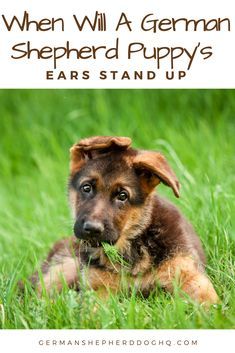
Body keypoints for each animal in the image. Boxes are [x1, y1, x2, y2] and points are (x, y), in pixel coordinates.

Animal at [30, 136, 218, 304]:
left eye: (122, 196)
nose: (92, 228)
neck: (131, 245)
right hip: (65, 267)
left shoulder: (189, 275)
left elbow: (211, 304)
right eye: (86, 188)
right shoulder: (97, 288)